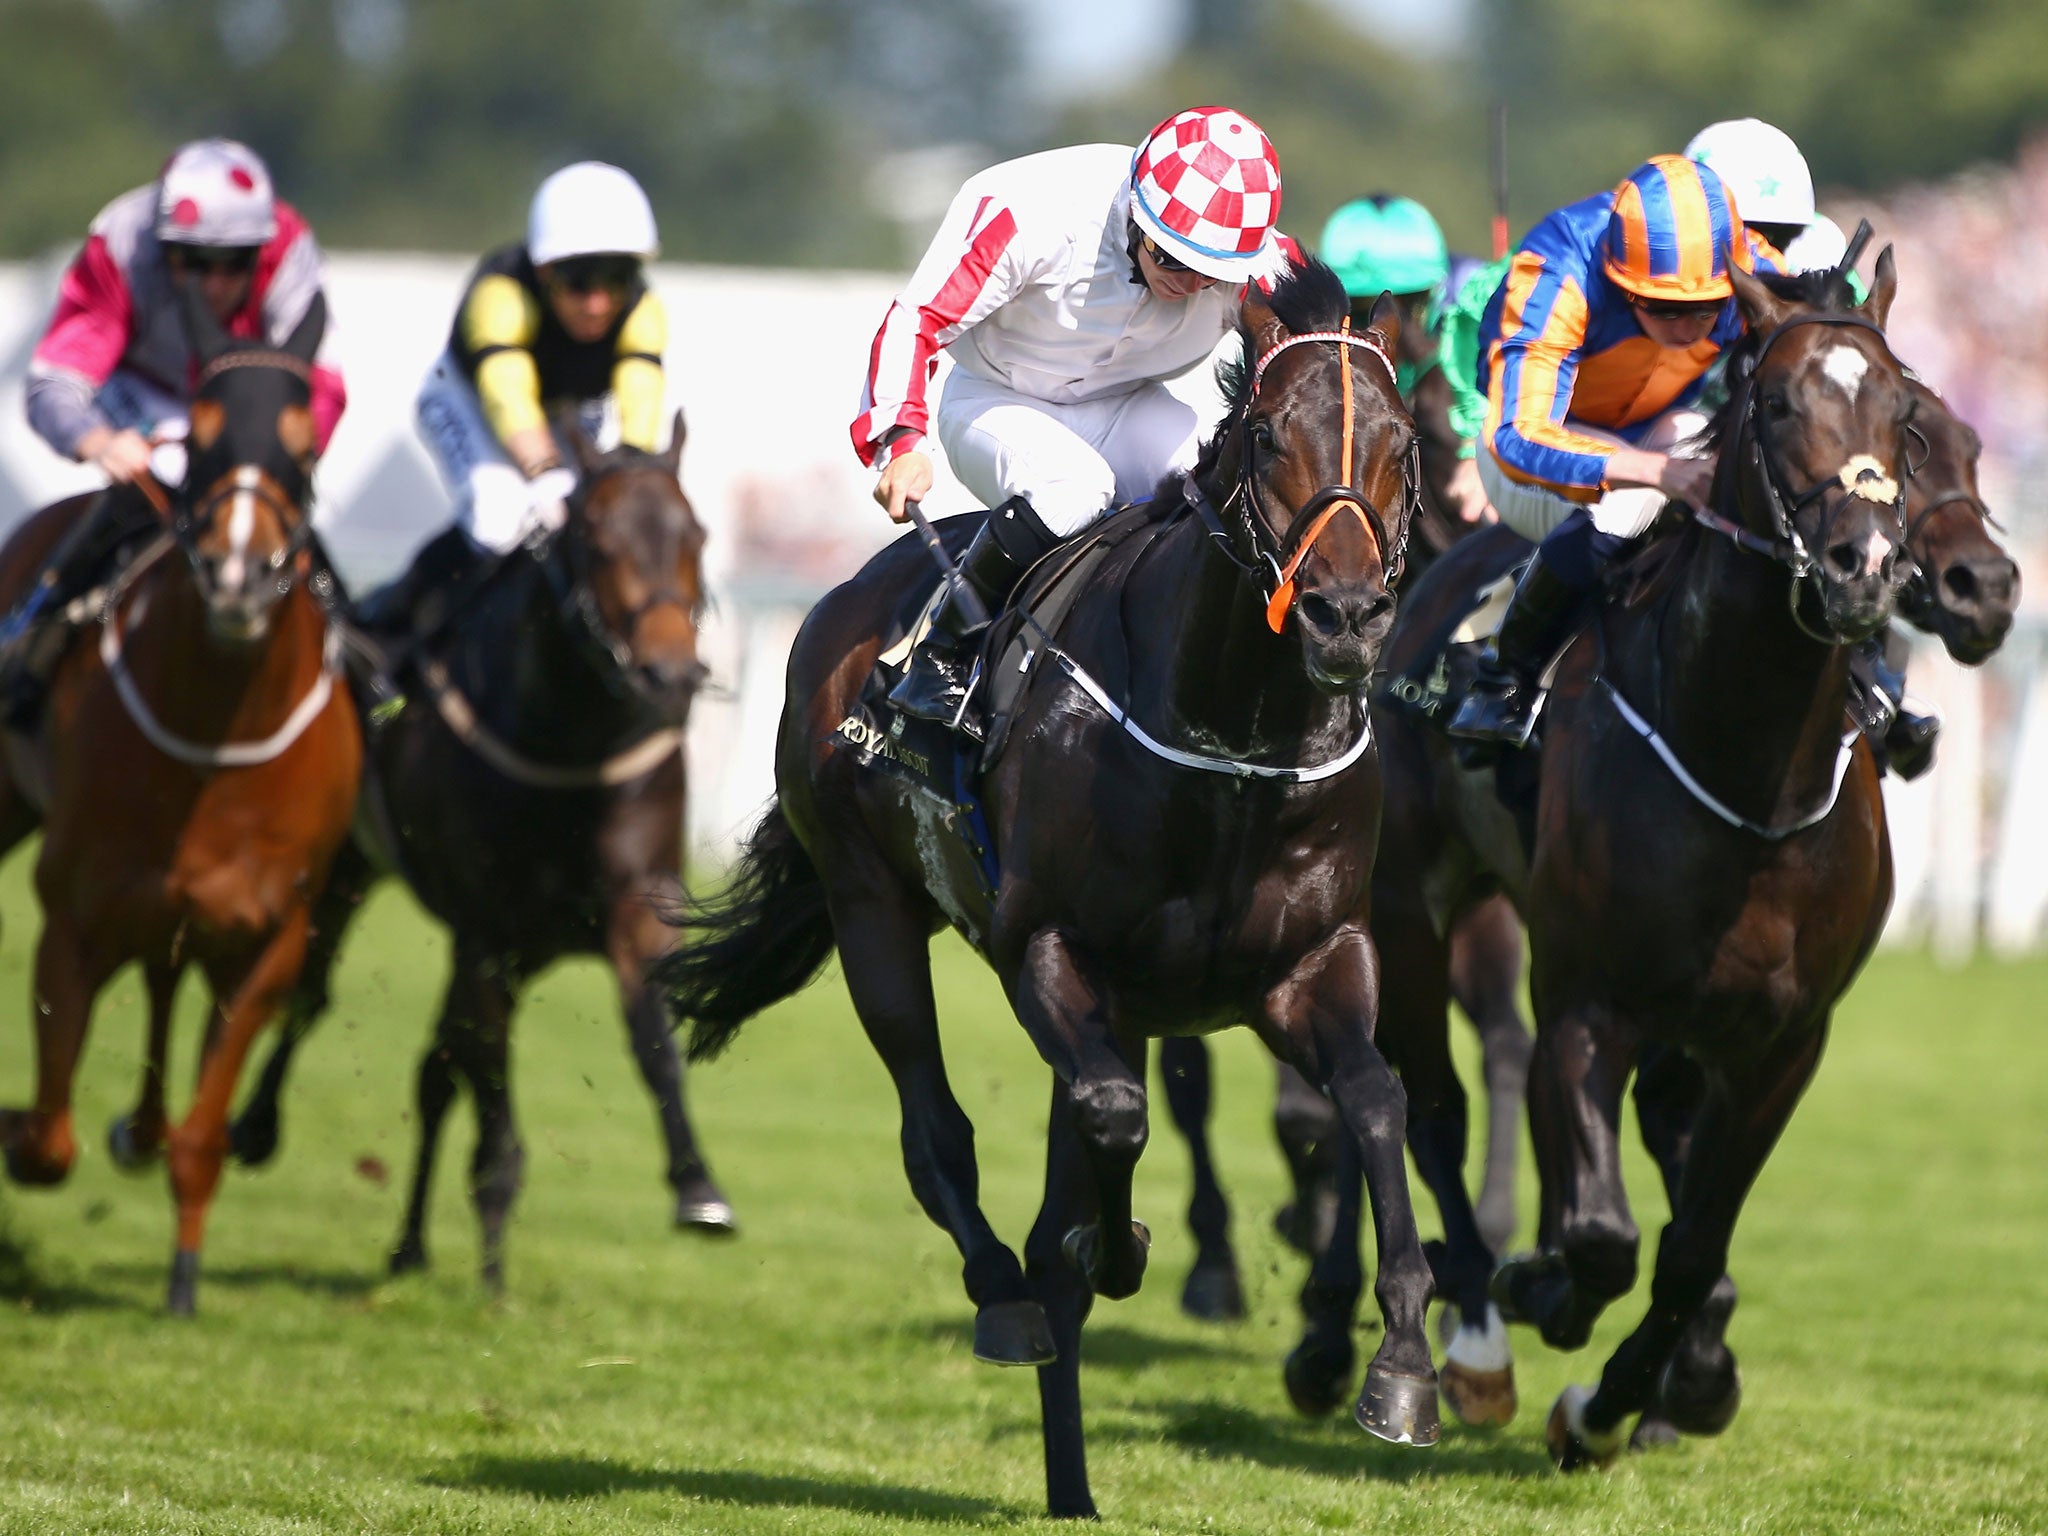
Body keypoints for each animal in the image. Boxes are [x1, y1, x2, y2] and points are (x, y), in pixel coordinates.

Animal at [0, 294, 360, 1318]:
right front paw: (22, 1126)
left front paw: (184, 1277)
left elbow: (203, 1135)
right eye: (196, 440)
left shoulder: (269, 942)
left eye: (304, 445)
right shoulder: (73, 918)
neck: (214, 739)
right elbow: (47, 1138)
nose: (239, 576)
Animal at [230, 415, 729, 1294]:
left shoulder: (633, 902)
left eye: (694, 536)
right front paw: (495, 1259)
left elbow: (651, 1038)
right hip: (350, 872)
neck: (570, 741)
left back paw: (409, 1245)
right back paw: (258, 1126)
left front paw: (696, 1186)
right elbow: (489, 1089)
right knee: (315, 996)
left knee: (435, 1069)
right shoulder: (488, 936)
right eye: (598, 541)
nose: (670, 674)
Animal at [663, 262, 1433, 1515]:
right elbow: (1111, 1116)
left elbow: (1372, 1103)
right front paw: (1102, 1251)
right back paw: (1005, 1290)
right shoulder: (1050, 953)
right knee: (935, 1133)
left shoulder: (1310, 966)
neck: (1232, 736)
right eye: (1268, 434)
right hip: (870, 909)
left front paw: (1402, 1364)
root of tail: (846, 600)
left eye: (1401, 442)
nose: (1346, 618)